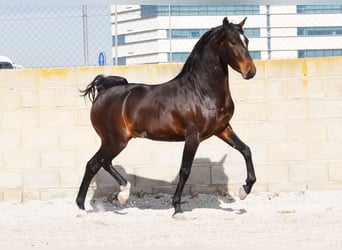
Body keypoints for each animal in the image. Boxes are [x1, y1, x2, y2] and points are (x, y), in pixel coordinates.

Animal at [75, 16, 256, 218]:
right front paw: (177, 209)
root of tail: (103, 90)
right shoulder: (193, 136)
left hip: (113, 141)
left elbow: (246, 150)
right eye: (232, 41)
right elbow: (185, 170)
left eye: (246, 40)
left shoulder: (223, 129)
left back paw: (120, 194)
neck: (202, 91)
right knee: (94, 164)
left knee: (102, 163)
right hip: (115, 140)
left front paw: (244, 190)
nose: (250, 71)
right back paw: (84, 207)